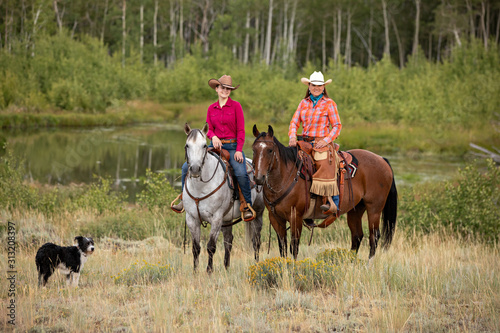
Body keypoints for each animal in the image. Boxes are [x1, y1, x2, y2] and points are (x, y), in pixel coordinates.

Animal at [252, 125, 396, 260]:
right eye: (254, 149)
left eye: (270, 150)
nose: (258, 178)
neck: (285, 178)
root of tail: (382, 159)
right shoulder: (275, 218)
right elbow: (282, 247)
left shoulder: (295, 217)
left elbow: (294, 247)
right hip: (356, 209)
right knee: (357, 236)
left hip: (374, 208)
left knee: (374, 237)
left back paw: (368, 265)